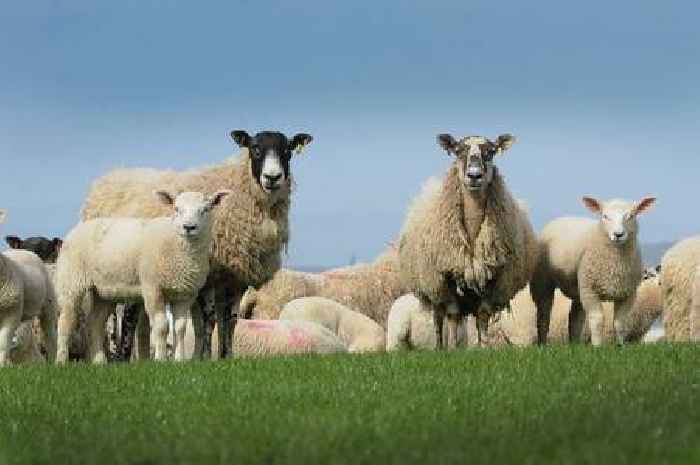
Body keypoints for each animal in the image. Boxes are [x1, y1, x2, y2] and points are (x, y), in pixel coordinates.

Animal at [56, 189, 230, 362]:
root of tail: (78, 228)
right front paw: (160, 359)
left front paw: (179, 359)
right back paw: (61, 360)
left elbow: (180, 328)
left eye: (205, 210)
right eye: (176, 209)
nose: (188, 227)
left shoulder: (186, 293)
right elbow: (161, 326)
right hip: (71, 281)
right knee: (65, 321)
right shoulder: (152, 288)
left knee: (95, 323)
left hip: (103, 292)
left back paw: (99, 361)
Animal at [80, 129, 314, 358]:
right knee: (120, 317)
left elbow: (231, 320)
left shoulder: (234, 278)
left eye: (287, 150)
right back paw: (117, 354)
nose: (272, 177)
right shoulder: (209, 276)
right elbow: (209, 320)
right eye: (255, 148)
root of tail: (109, 177)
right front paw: (205, 357)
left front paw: (226, 356)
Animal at [396, 131, 540, 348]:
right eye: (457, 150)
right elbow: (453, 316)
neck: (472, 233)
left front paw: (483, 347)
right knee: (438, 319)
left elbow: (483, 315)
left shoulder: (492, 278)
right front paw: (454, 348)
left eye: (491, 152)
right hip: (433, 285)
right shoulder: (447, 278)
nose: (474, 175)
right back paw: (439, 347)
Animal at [532, 196, 660, 344]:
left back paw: (575, 344)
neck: (615, 264)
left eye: (631, 216)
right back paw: (542, 343)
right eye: (605, 216)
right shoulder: (591, 291)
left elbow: (620, 322)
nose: (618, 234)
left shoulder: (628, 294)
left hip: (580, 288)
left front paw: (621, 345)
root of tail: (562, 218)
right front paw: (597, 345)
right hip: (544, 282)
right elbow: (597, 320)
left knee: (575, 318)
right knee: (543, 315)